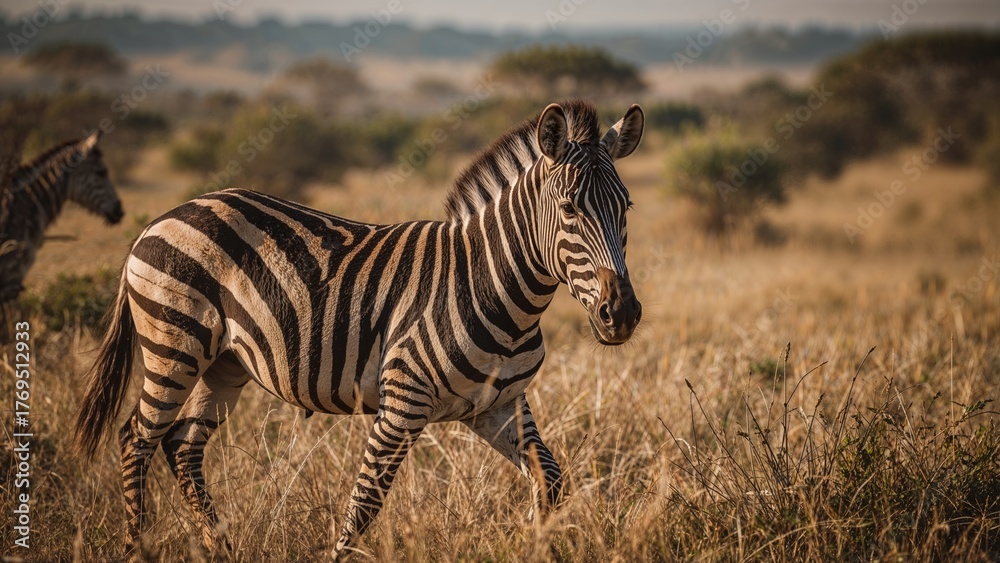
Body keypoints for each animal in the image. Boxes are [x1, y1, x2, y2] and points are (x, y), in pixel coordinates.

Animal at [74, 99, 644, 558]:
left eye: (627, 208)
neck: (497, 290)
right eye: (569, 209)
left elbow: (552, 483)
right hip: (175, 345)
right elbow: (364, 505)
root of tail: (166, 216)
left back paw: (222, 550)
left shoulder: (499, 406)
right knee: (136, 438)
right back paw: (138, 550)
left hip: (224, 364)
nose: (622, 314)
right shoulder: (403, 404)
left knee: (182, 447)